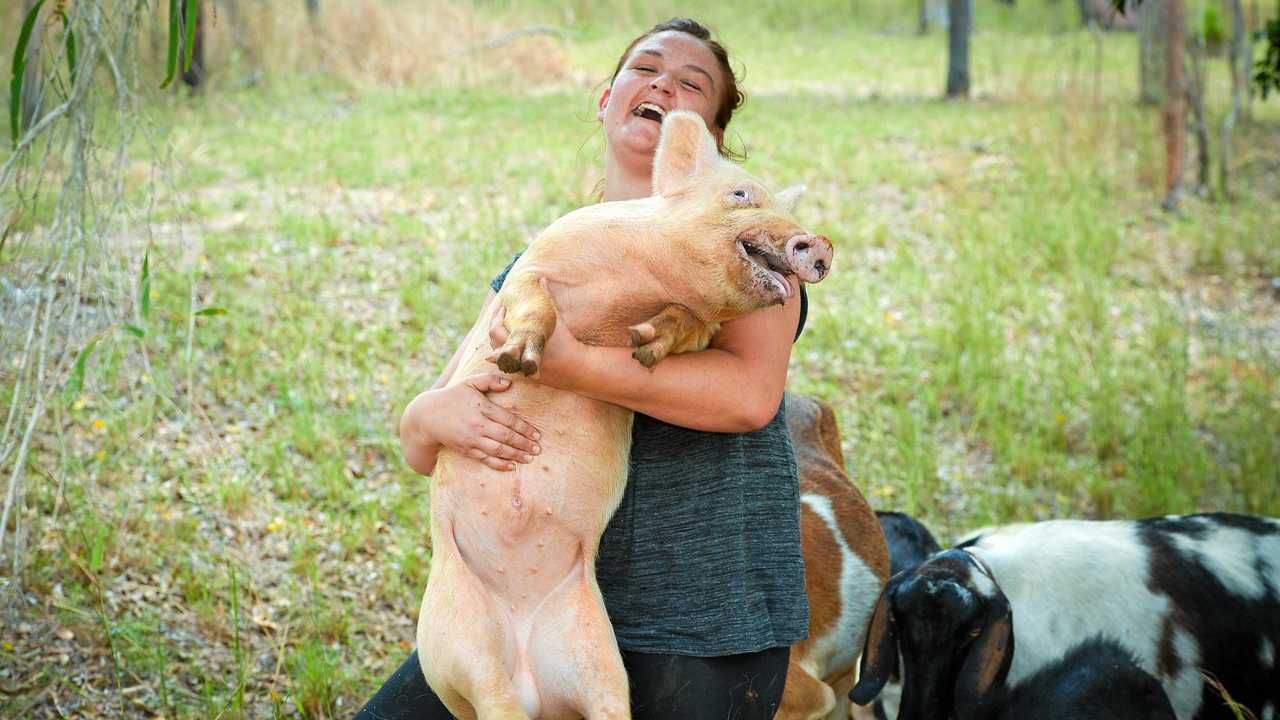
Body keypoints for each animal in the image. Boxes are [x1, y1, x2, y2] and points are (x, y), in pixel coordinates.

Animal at [419, 107, 834, 717]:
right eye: (741, 193)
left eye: (788, 209)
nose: (821, 243)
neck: (639, 284)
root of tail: (530, 680)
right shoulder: (539, 262)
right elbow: (535, 300)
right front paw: (517, 361)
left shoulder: (698, 327)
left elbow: (683, 323)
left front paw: (643, 348)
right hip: (455, 636)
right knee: (489, 688)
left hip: (596, 653)